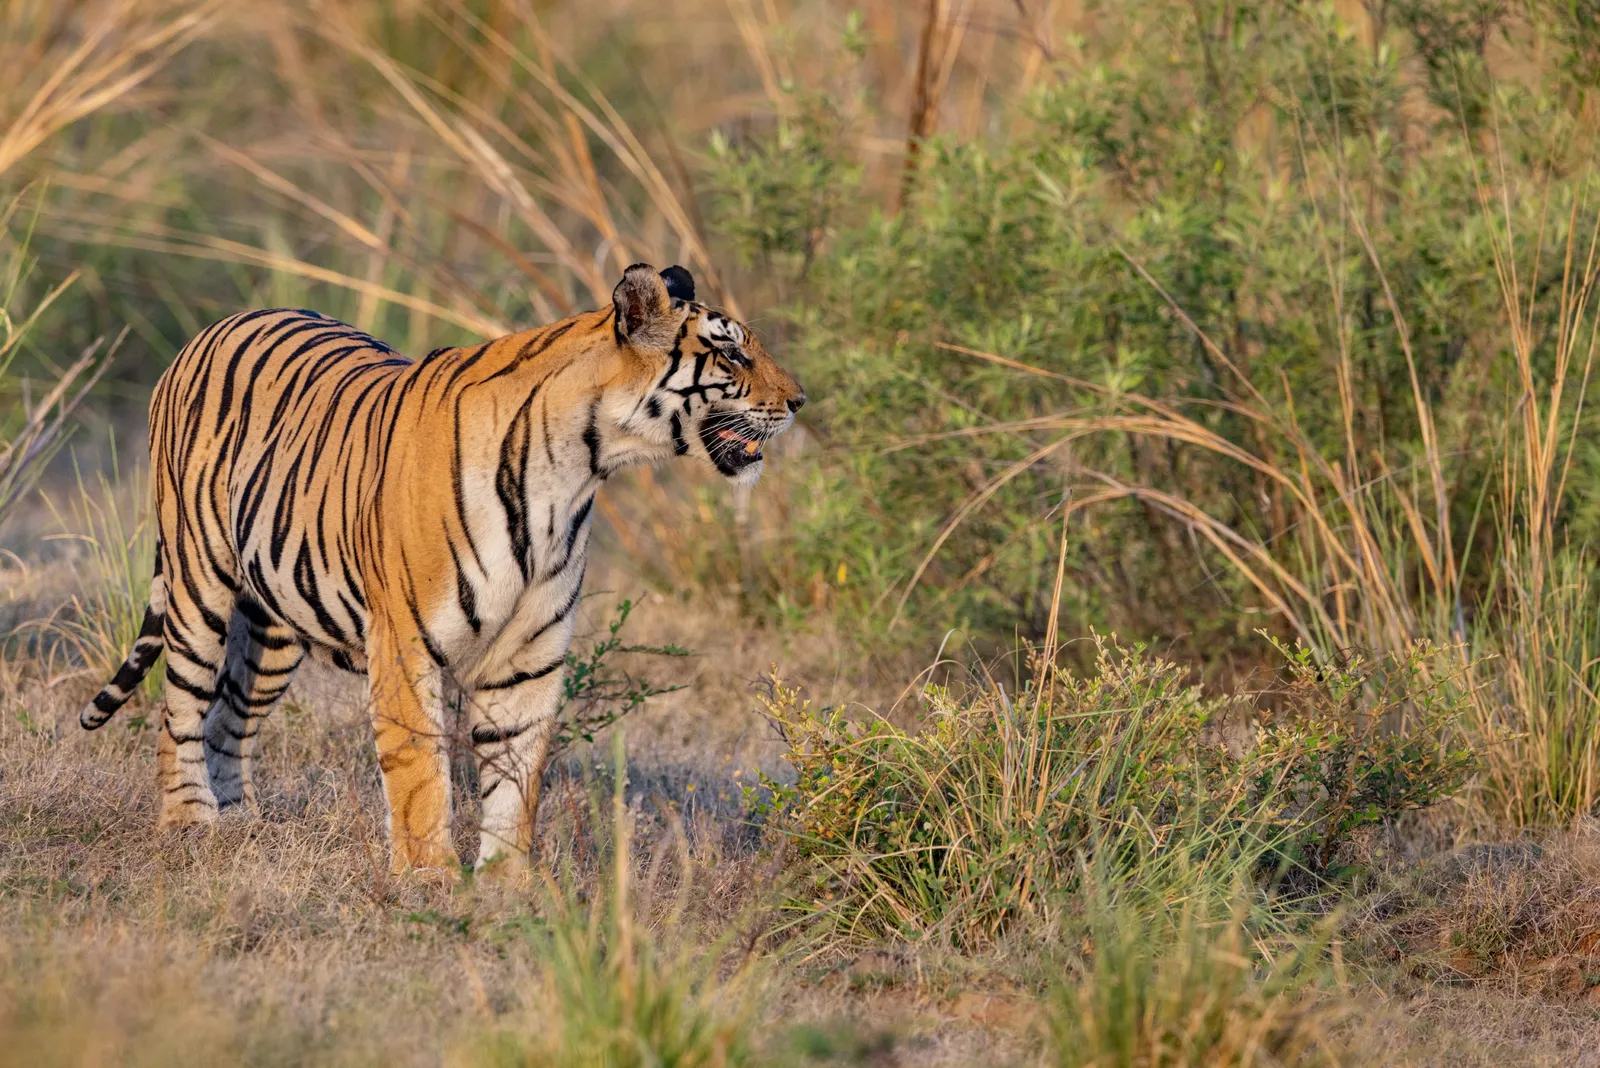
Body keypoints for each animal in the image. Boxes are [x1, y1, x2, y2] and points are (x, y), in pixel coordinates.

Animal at [80, 263, 805, 874]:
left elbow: (516, 773)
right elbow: (420, 771)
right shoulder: (404, 642)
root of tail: (221, 322)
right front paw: (429, 879)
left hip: (274, 623)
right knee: (180, 707)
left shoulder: (528, 653)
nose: (800, 400)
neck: (580, 466)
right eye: (732, 353)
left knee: (230, 717)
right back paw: (190, 826)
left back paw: (244, 829)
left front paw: (509, 886)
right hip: (197, 581)